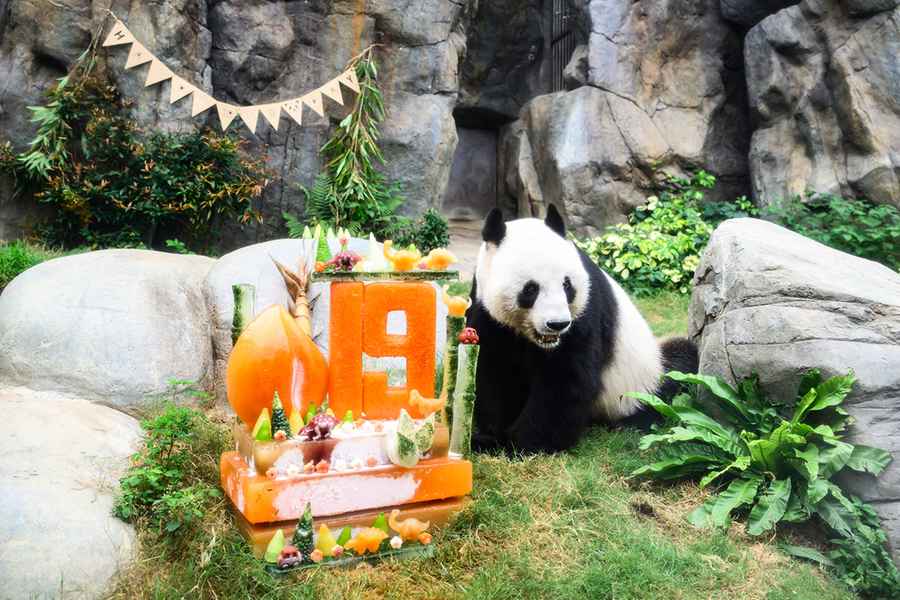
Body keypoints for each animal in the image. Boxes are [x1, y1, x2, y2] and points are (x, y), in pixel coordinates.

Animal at [468, 204, 700, 452]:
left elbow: (564, 379)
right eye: (530, 289)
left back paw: (631, 422)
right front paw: (490, 437)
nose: (557, 324)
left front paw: (524, 443)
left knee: (678, 365)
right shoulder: (486, 311)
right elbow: (493, 370)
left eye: (566, 285)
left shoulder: (584, 312)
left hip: (644, 378)